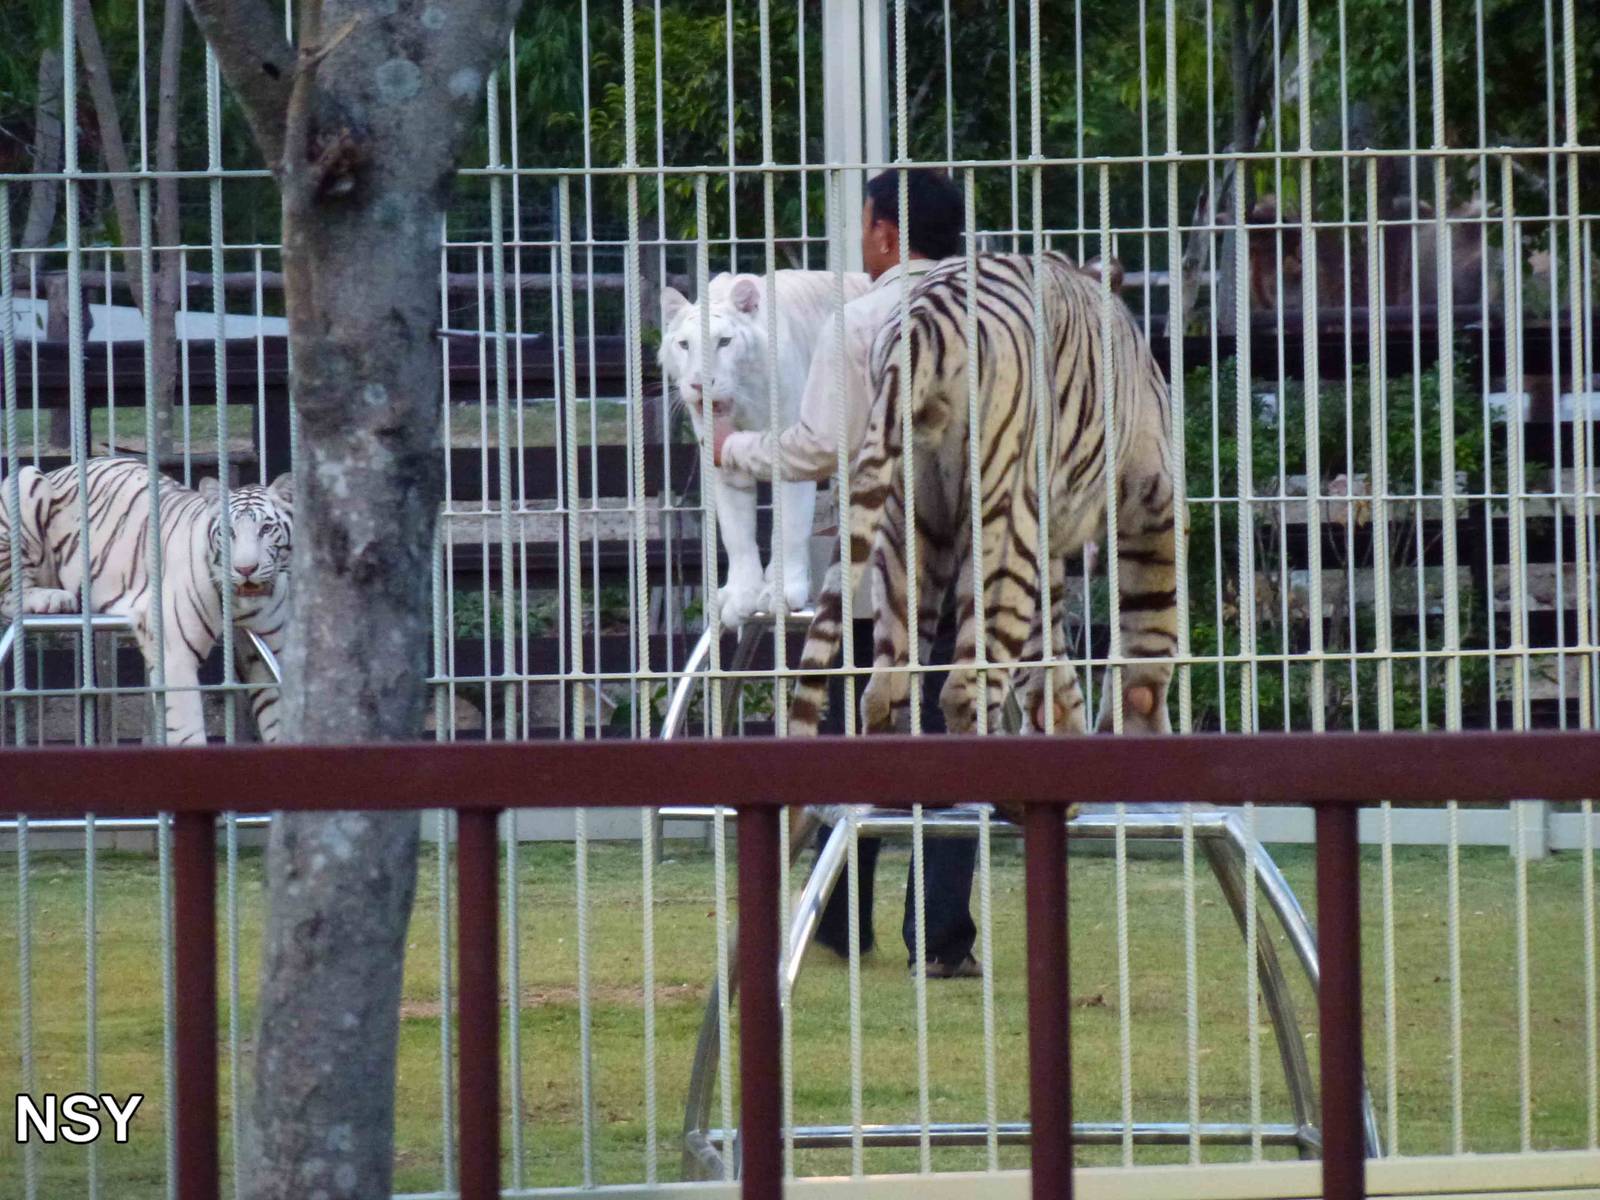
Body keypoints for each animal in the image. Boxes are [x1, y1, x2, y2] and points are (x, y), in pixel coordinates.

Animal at [0, 457, 294, 746]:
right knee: (9, 592)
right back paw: (52, 598)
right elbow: (187, 728)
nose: (245, 569)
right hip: (25, 482)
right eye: (228, 532)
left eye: (266, 529)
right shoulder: (175, 650)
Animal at [786, 250, 1178, 756]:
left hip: (908, 526)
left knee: (885, 690)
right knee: (963, 687)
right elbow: (1149, 628)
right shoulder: (1151, 491)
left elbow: (1048, 656)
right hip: (1002, 527)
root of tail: (924, 320)